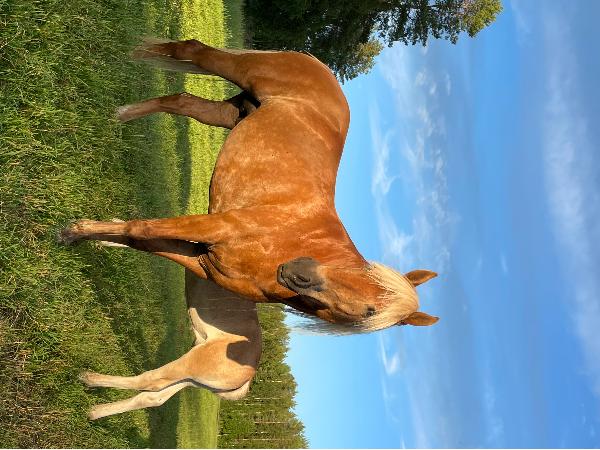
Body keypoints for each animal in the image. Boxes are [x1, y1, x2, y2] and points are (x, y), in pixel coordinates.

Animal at [60, 38, 439, 332]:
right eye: (364, 275)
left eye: (368, 312)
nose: (297, 273)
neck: (286, 240)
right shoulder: (216, 224)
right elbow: (141, 228)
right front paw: (73, 232)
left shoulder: (200, 260)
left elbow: (139, 239)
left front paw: (83, 236)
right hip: (239, 71)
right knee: (193, 50)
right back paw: (139, 54)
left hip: (231, 114)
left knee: (181, 101)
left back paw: (121, 113)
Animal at [81, 267, 261, 420]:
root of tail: (249, 376)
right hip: (192, 378)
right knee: (154, 397)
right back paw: (93, 411)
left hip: (191, 363)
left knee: (150, 381)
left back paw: (88, 378)